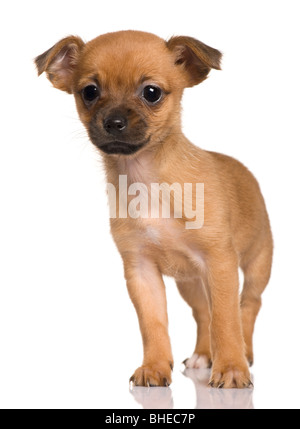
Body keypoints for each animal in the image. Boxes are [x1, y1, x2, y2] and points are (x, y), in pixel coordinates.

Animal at [35, 30, 272, 388]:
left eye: (151, 93)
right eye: (89, 92)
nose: (114, 121)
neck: (146, 178)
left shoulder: (220, 263)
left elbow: (226, 321)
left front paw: (231, 367)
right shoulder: (142, 272)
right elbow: (153, 323)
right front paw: (155, 366)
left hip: (257, 263)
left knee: (247, 305)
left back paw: (243, 353)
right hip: (191, 282)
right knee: (204, 312)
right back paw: (204, 355)